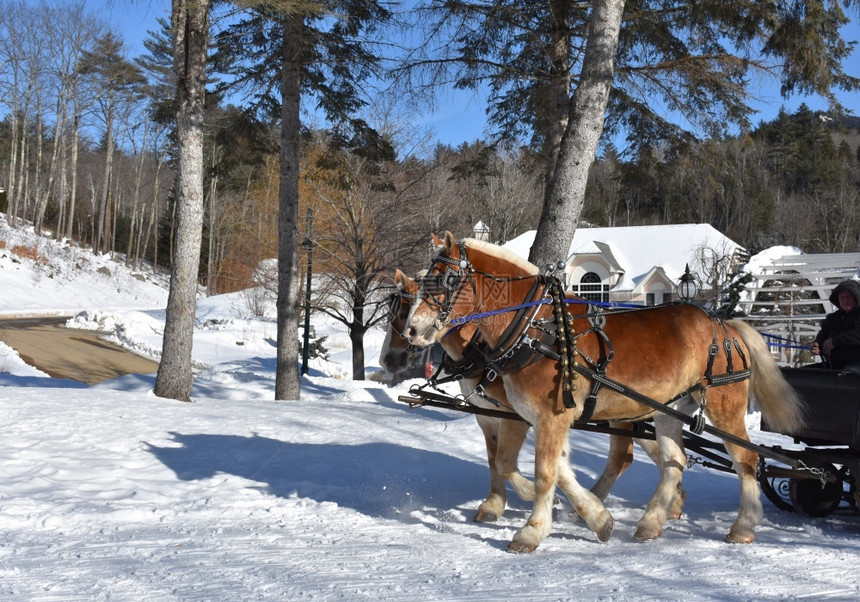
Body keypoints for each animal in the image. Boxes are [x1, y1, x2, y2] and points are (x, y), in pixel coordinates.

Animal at [380, 270, 688, 524]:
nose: (387, 360)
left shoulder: (522, 416)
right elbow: (495, 459)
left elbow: (531, 463)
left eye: (404, 312)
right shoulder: (487, 416)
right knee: (652, 451)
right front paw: (494, 504)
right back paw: (673, 501)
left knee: (628, 455)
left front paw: (542, 498)